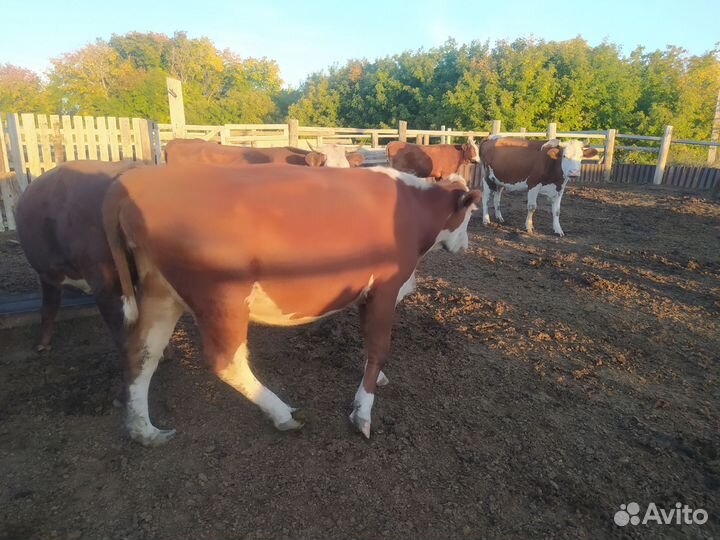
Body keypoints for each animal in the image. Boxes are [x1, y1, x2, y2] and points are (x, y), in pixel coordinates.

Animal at [102, 164, 481, 446]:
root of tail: (134, 181)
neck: (411, 210)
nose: (465, 246)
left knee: (142, 354)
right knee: (227, 362)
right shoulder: (386, 289)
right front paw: (363, 412)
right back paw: (283, 414)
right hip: (222, 299)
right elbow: (379, 348)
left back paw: (144, 430)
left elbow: (369, 344)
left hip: (160, 294)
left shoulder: (368, 293)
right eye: (469, 214)